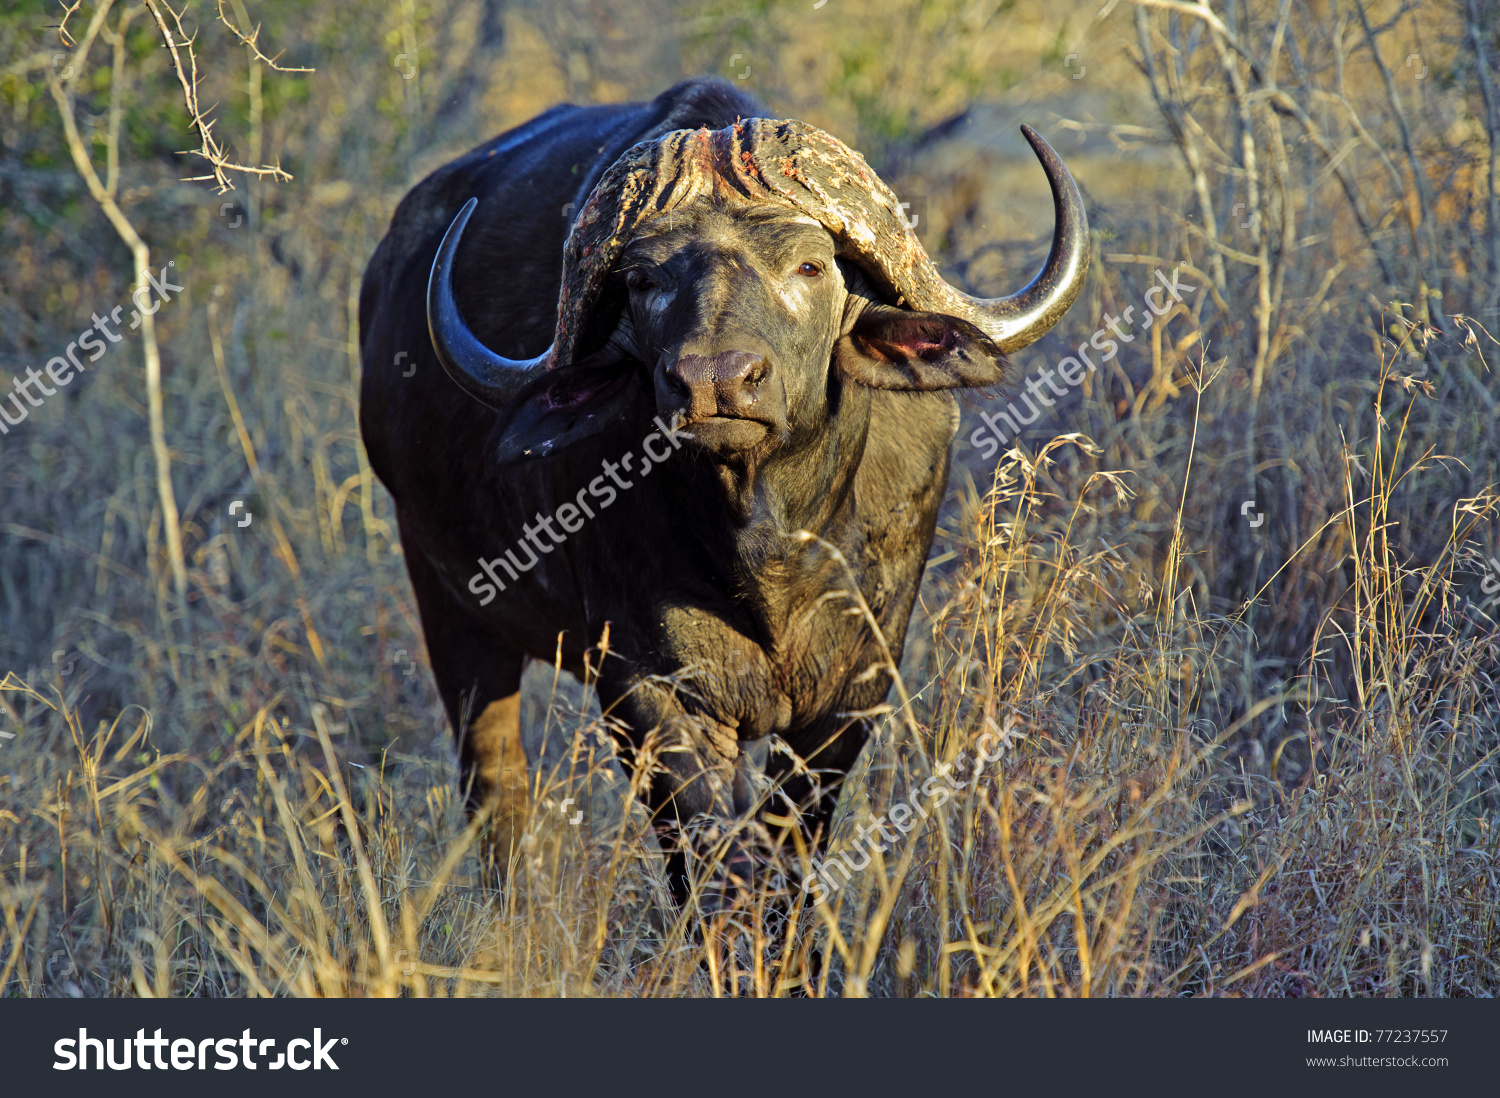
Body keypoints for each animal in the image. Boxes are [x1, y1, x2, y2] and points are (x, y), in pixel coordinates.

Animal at [363, 77, 1092, 894]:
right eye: (644, 280)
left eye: (810, 267)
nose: (714, 379)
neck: (768, 546)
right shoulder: (650, 695)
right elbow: (715, 865)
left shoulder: (852, 690)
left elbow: (790, 853)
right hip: (453, 614)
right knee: (497, 792)